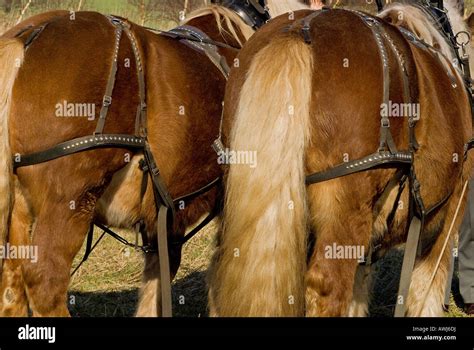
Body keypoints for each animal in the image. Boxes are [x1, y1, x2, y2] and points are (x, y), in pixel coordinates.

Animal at [0, 4, 256, 318]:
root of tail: (29, 36)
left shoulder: (166, 211)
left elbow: (160, 274)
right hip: (69, 201)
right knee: (45, 279)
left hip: (19, 207)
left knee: (11, 282)